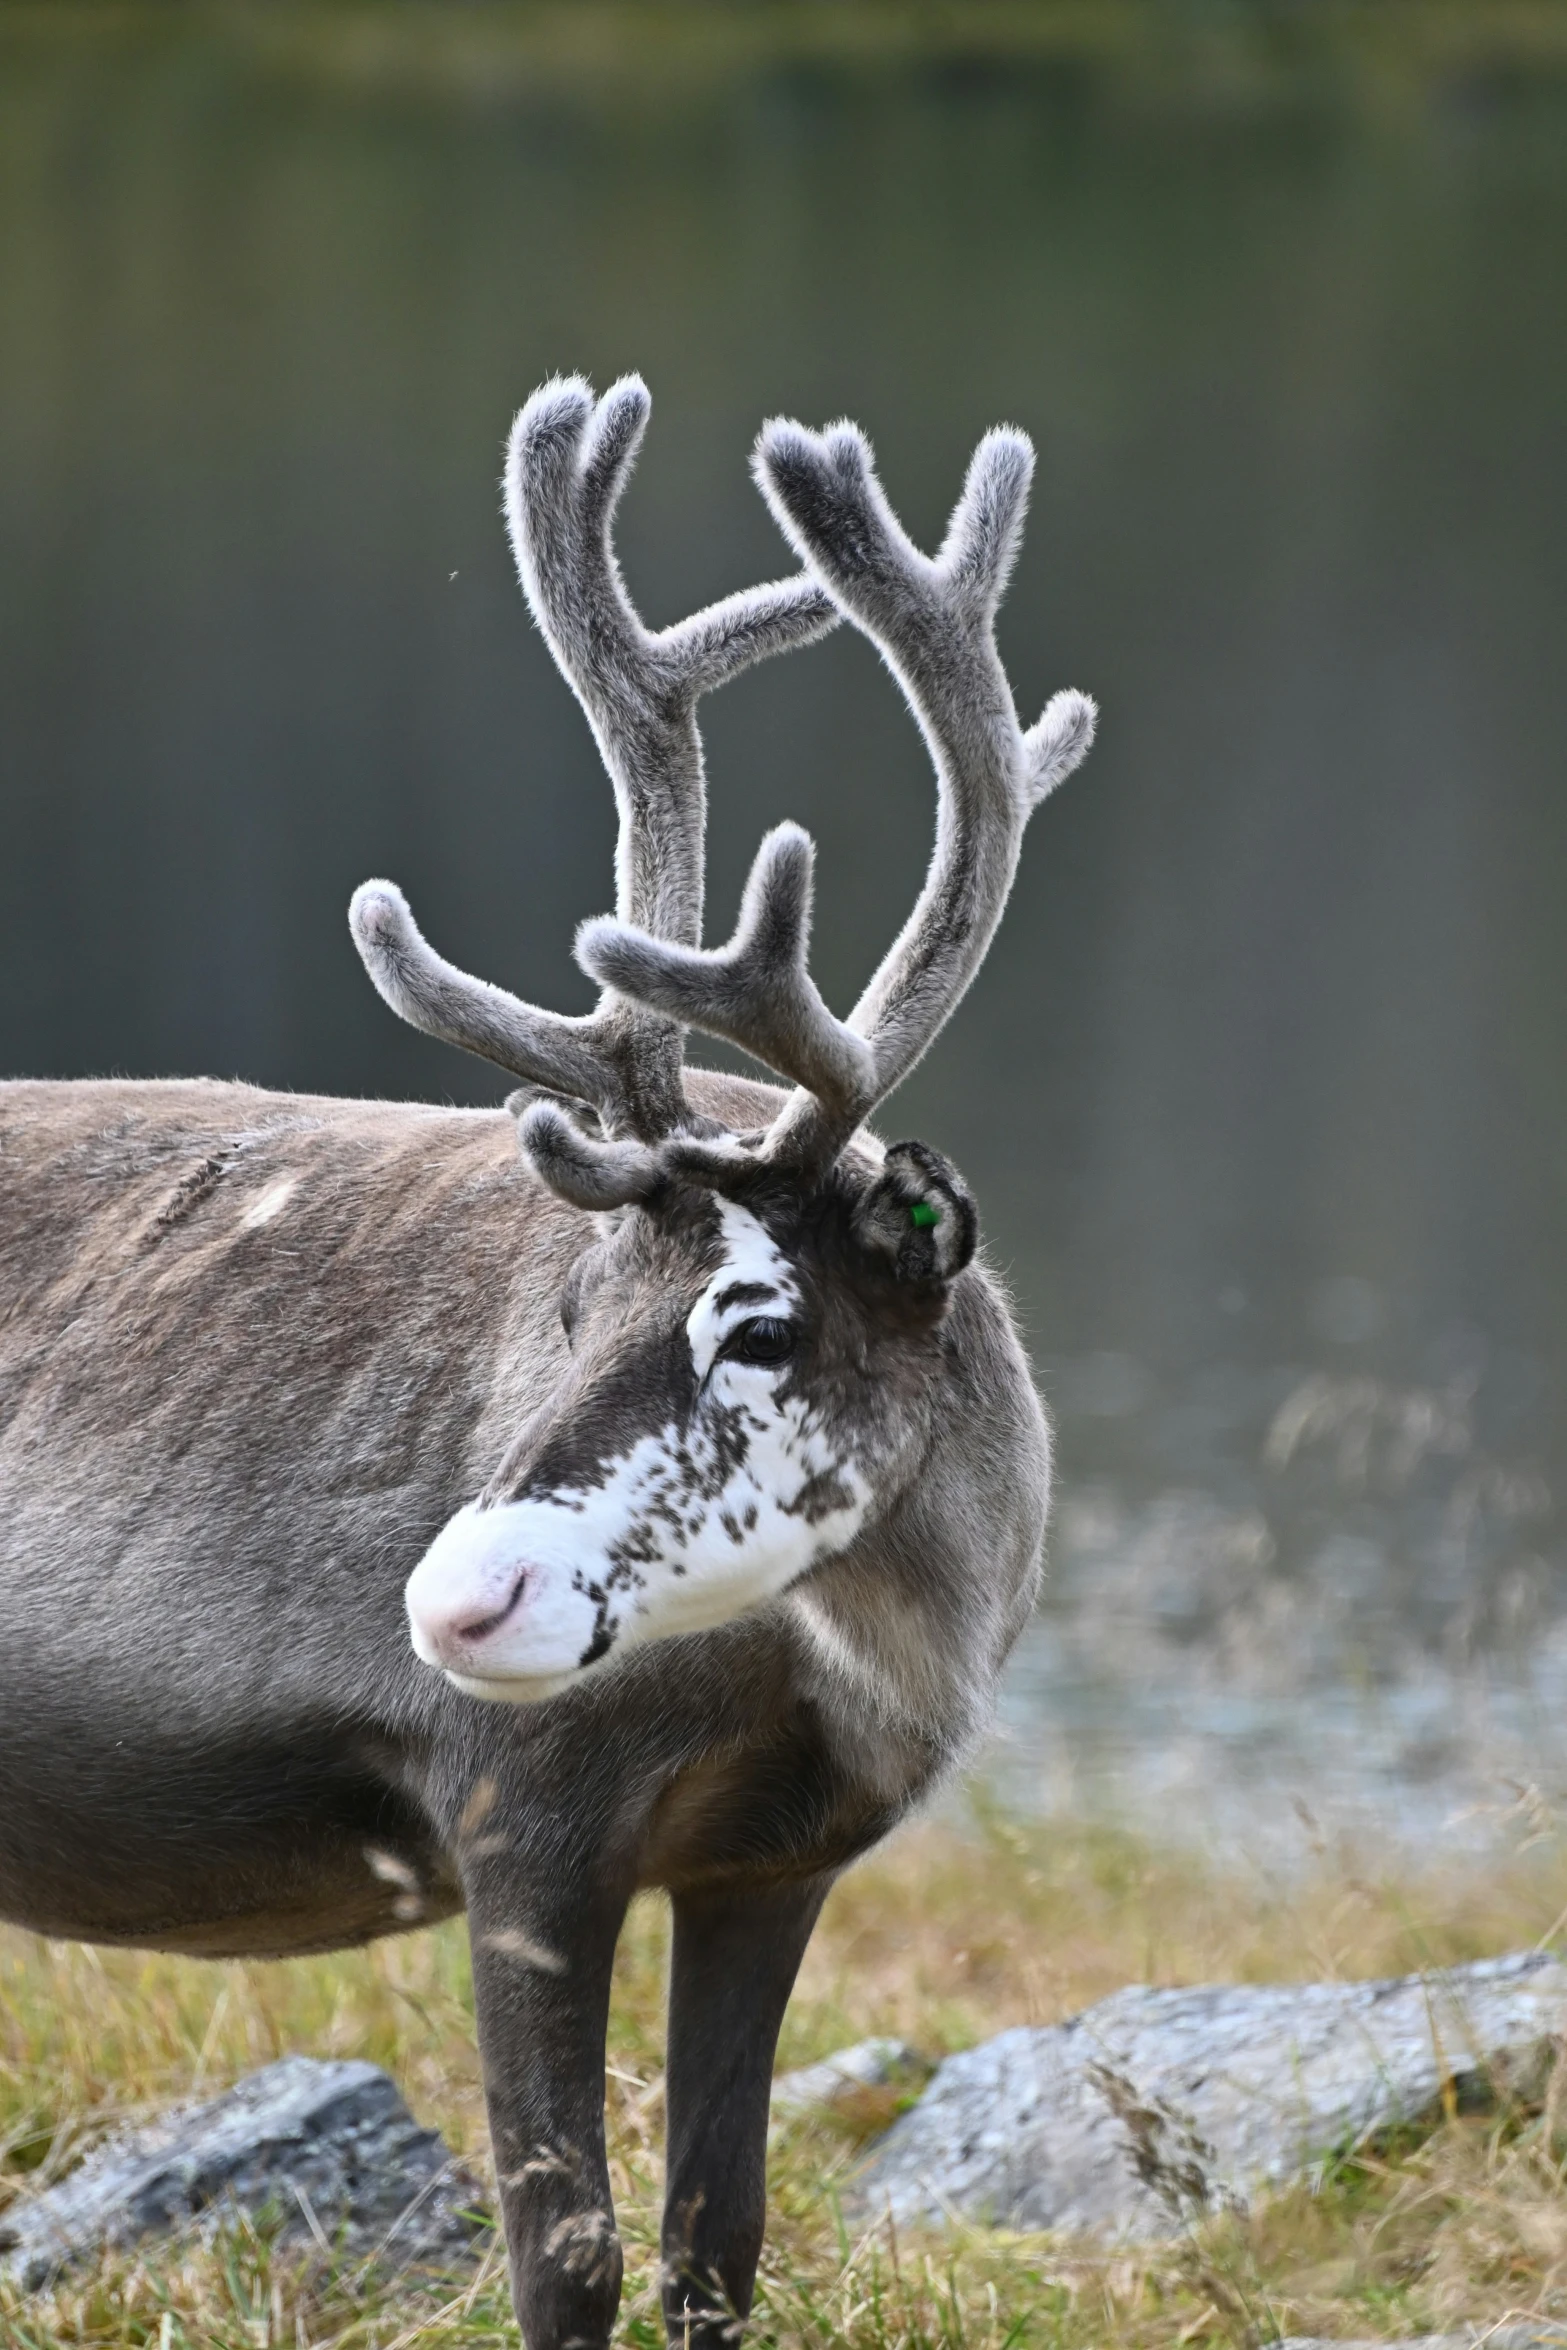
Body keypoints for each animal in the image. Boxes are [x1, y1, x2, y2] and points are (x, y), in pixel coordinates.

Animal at [0, 376, 1099, 2340]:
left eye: (761, 1321)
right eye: (570, 1310)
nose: (457, 1596)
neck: (892, 1646)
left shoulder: (772, 1863)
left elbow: (716, 2239)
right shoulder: (520, 1819)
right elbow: (565, 2257)